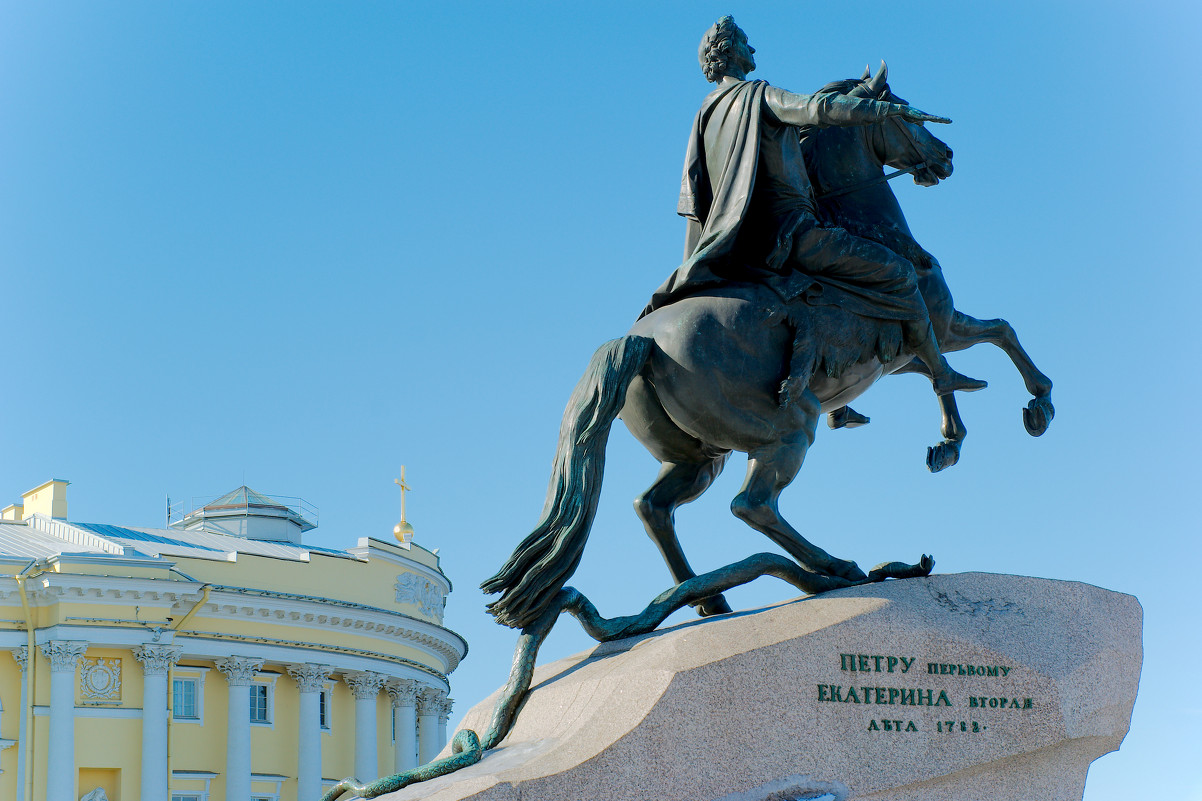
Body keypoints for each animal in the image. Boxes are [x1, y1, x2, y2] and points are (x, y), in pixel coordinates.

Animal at [478, 65, 1052, 625]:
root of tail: (638, 339)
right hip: (788, 427)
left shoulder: (895, 354)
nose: (946, 156)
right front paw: (1025, 410)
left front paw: (949, 437)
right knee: (751, 506)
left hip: (700, 455)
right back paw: (837, 568)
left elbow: (950, 365)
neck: (868, 226)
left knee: (653, 507)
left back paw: (713, 600)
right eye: (906, 115)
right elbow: (993, 337)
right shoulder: (932, 315)